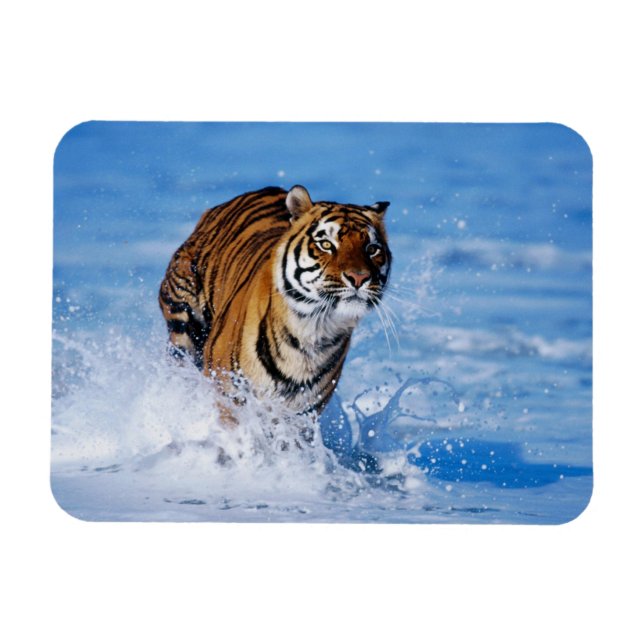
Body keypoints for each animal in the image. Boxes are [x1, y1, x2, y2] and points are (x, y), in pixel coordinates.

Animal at [158, 185, 391, 416]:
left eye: (372, 249)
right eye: (326, 244)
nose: (359, 277)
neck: (313, 332)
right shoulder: (228, 394)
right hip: (183, 323)